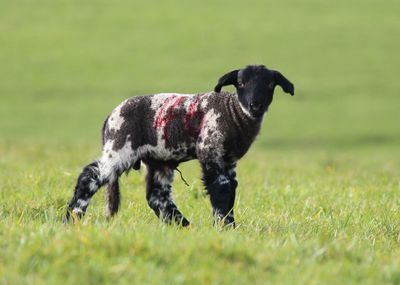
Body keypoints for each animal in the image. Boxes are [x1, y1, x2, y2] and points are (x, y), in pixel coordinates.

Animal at [65, 64, 294, 226]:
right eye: (241, 83)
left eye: (270, 84)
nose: (255, 105)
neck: (232, 112)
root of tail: (109, 117)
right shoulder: (210, 150)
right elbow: (221, 189)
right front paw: (224, 226)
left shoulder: (229, 160)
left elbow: (230, 190)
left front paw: (229, 225)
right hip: (120, 147)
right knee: (89, 176)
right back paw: (72, 217)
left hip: (158, 159)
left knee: (156, 196)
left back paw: (182, 225)